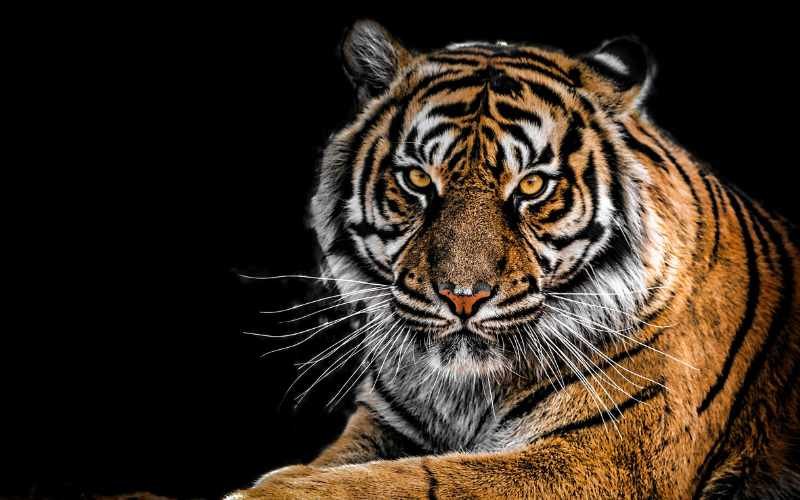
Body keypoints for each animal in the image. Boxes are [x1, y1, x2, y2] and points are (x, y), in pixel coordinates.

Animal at [228, 20, 800, 499]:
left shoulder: (602, 456)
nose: (462, 298)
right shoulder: (385, 423)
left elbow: (414, 481)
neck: (463, 391)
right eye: (417, 179)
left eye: (531, 186)